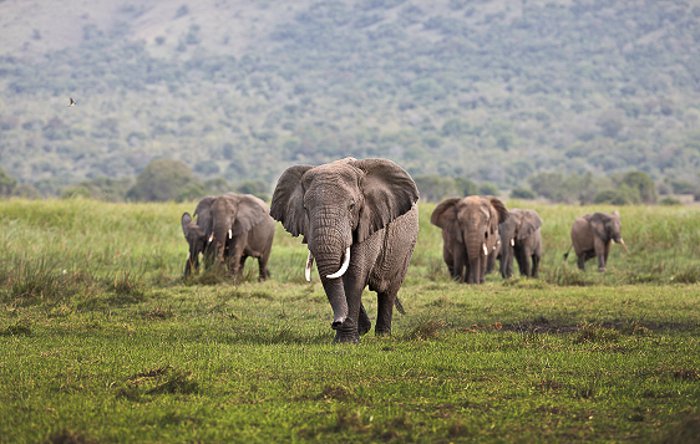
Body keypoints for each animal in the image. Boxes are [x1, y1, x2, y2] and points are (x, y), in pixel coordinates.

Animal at [270, 157, 418, 344]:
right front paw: (353, 334)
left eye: (351, 206)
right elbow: (337, 275)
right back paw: (364, 329)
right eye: (305, 208)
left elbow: (354, 274)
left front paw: (346, 341)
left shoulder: (369, 221)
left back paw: (383, 335)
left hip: (407, 246)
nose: (335, 323)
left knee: (388, 290)